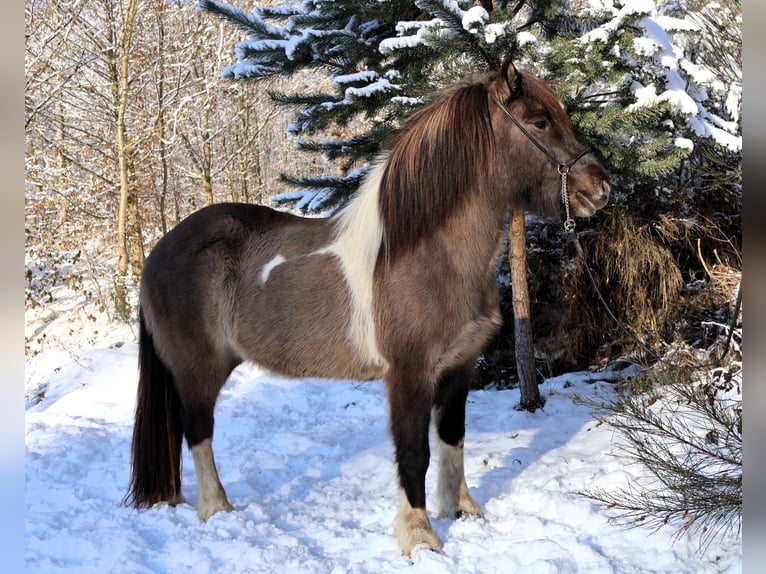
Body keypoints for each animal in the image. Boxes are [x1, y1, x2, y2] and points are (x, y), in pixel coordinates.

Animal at [124, 58, 611, 554]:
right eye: (539, 122)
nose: (602, 188)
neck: (429, 256)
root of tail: (158, 252)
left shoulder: (459, 366)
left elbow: (452, 440)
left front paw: (461, 511)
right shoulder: (409, 376)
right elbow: (414, 453)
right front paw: (420, 537)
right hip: (199, 369)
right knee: (197, 430)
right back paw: (217, 508)